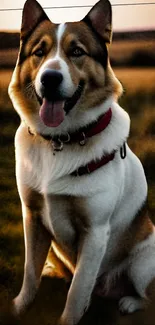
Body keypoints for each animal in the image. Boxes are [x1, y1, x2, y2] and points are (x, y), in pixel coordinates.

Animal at [8, 0, 155, 324]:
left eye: (77, 51)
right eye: (39, 52)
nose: (50, 78)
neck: (60, 141)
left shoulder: (95, 232)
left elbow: (77, 292)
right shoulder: (32, 217)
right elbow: (29, 274)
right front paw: (18, 309)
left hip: (142, 265)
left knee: (146, 294)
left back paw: (129, 302)